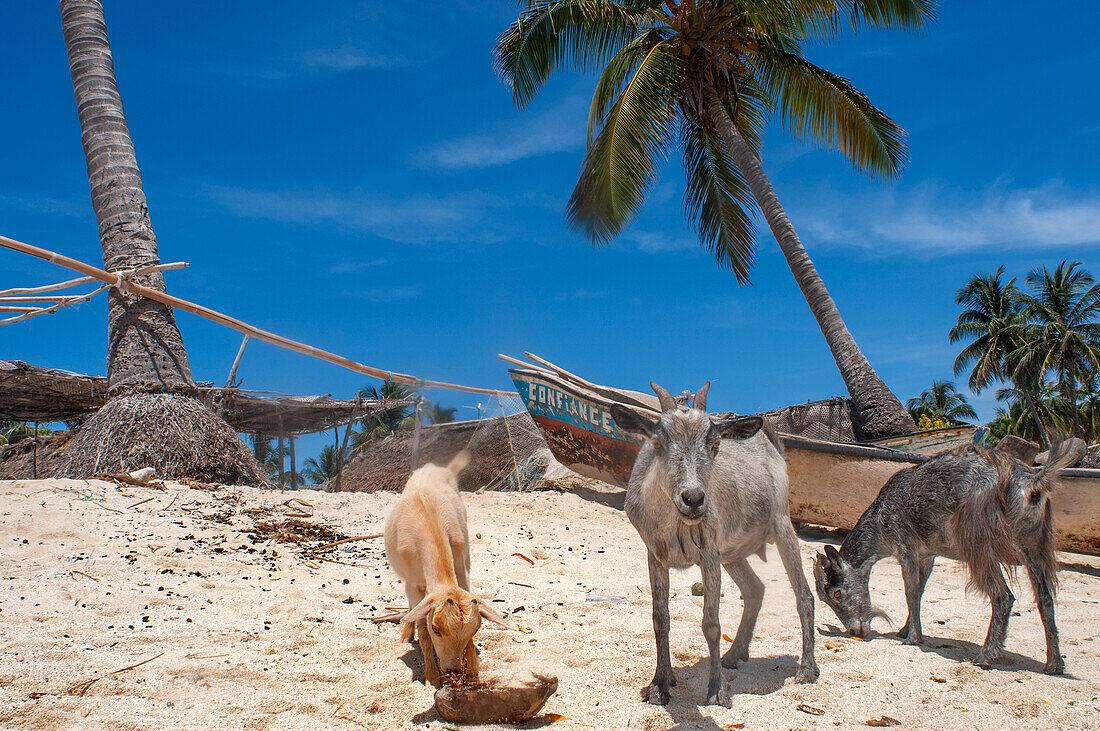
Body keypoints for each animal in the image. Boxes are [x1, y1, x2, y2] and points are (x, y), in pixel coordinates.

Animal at [385, 450, 508, 685]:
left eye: (477, 628)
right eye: (436, 628)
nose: (453, 670)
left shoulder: (461, 564)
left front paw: (473, 671)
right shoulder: (412, 584)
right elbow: (422, 627)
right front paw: (431, 677)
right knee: (412, 609)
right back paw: (406, 634)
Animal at [611, 382, 818, 707]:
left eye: (716, 444)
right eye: (658, 443)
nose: (694, 499)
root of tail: (771, 442)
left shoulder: (709, 553)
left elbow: (711, 624)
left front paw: (716, 690)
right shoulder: (655, 555)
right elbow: (660, 618)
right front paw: (660, 684)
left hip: (782, 522)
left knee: (804, 596)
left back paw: (807, 669)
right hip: (732, 552)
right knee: (755, 589)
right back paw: (735, 654)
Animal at [818, 439, 1073, 672]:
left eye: (837, 593)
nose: (855, 630)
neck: (882, 520)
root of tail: (1032, 484)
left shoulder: (905, 547)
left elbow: (910, 591)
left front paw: (913, 638)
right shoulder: (927, 555)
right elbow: (920, 590)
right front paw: (904, 630)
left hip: (980, 545)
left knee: (1003, 596)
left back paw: (986, 655)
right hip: (1034, 543)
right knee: (1045, 598)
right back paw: (1054, 664)